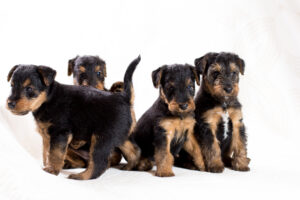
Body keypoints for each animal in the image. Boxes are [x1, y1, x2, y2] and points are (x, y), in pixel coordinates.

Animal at [6, 55, 141, 180]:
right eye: (12, 86)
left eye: (29, 88)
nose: (10, 103)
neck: (48, 98)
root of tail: (124, 97)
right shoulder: (47, 135)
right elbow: (46, 152)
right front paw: (46, 165)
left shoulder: (60, 133)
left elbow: (55, 153)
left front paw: (51, 170)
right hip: (121, 136)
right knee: (134, 151)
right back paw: (129, 167)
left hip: (101, 138)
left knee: (99, 163)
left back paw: (81, 176)